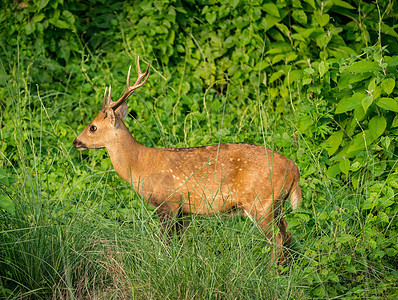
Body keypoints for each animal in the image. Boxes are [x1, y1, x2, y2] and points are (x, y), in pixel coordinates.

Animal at [74, 56, 302, 264]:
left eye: (93, 127)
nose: (76, 142)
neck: (140, 165)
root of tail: (294, 170)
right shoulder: (184, 210)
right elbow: (182, 243)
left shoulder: (167, 202)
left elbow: (165, 243)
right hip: (275, 204)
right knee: (288, 234)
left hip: (260, 202)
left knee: (277, 240)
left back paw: (270, 272)